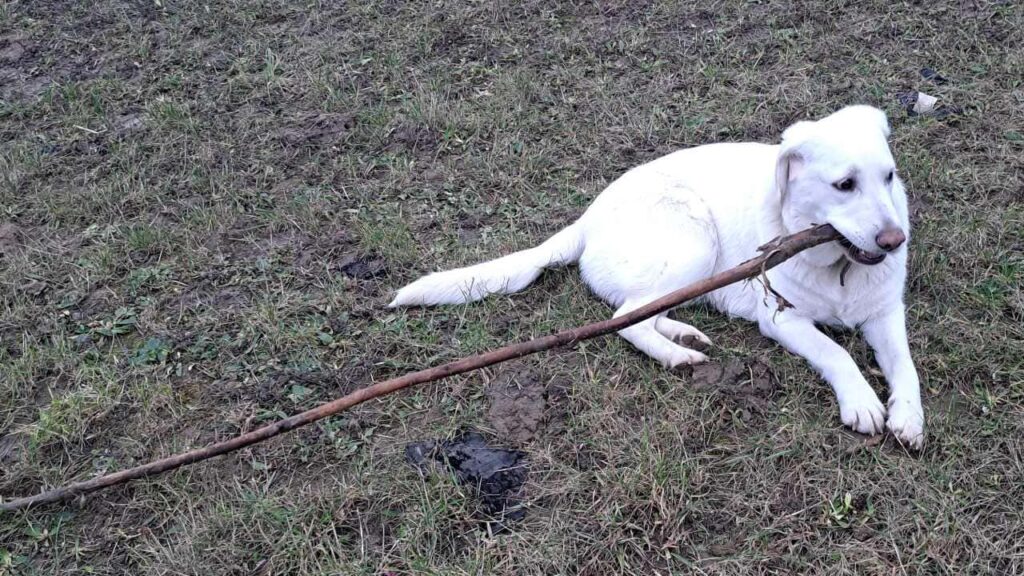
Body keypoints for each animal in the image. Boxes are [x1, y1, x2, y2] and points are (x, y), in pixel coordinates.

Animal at [387, 107, 925, 448]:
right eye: (844, 185)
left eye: (889, 176)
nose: (894, 241)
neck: (838, 267)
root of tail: (587, 220)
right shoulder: (781, 318)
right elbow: (836, 353)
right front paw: (862, 402)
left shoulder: (886, 315)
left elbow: (905, 366)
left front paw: (908, 415)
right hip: (696, 241)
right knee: (625, 318)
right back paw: (678, 355)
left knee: (641, 312)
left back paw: (682, 335)